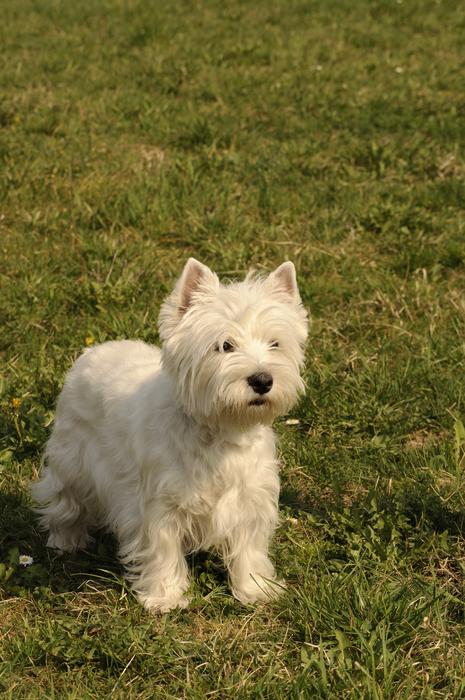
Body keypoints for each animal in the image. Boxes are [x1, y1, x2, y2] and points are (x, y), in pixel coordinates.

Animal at [31, 258, 308, 612]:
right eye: (225, 345)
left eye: (275, 343)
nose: (262, 380)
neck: (219, 432)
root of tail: (94, 350)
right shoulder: (157, 504)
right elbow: (162, 549)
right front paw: (165, 597)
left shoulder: (249, 498)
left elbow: (249, 547)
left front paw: (256, 589)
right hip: (73, 461)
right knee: (65, 502)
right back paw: (64, 541)